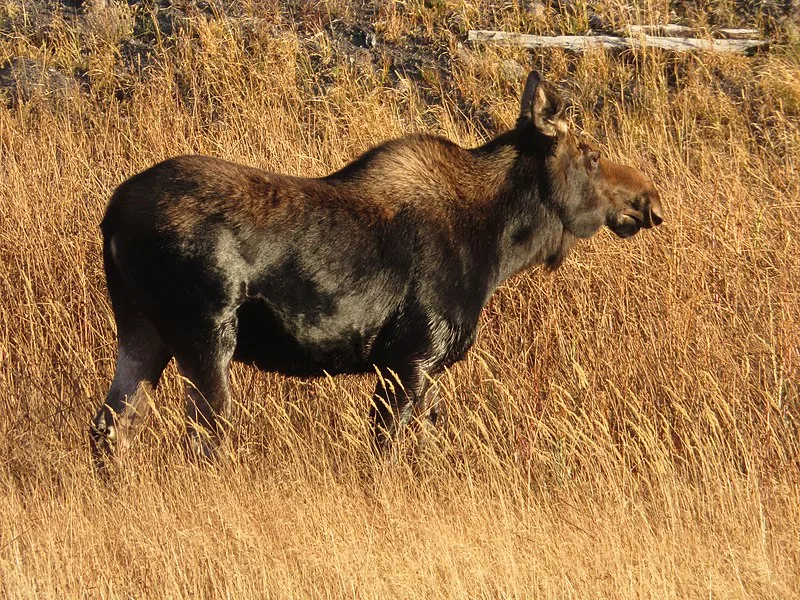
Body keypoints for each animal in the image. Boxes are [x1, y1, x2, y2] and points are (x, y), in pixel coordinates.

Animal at [89, 69, 664, 464]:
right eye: (591, 154)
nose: (649, 199)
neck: (500, 247)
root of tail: (111, 214)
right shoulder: (410, 357)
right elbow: (384, 455)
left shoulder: (424, 368)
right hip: (205, 335)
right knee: (203, 438)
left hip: (142, 331)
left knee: (109, 427)